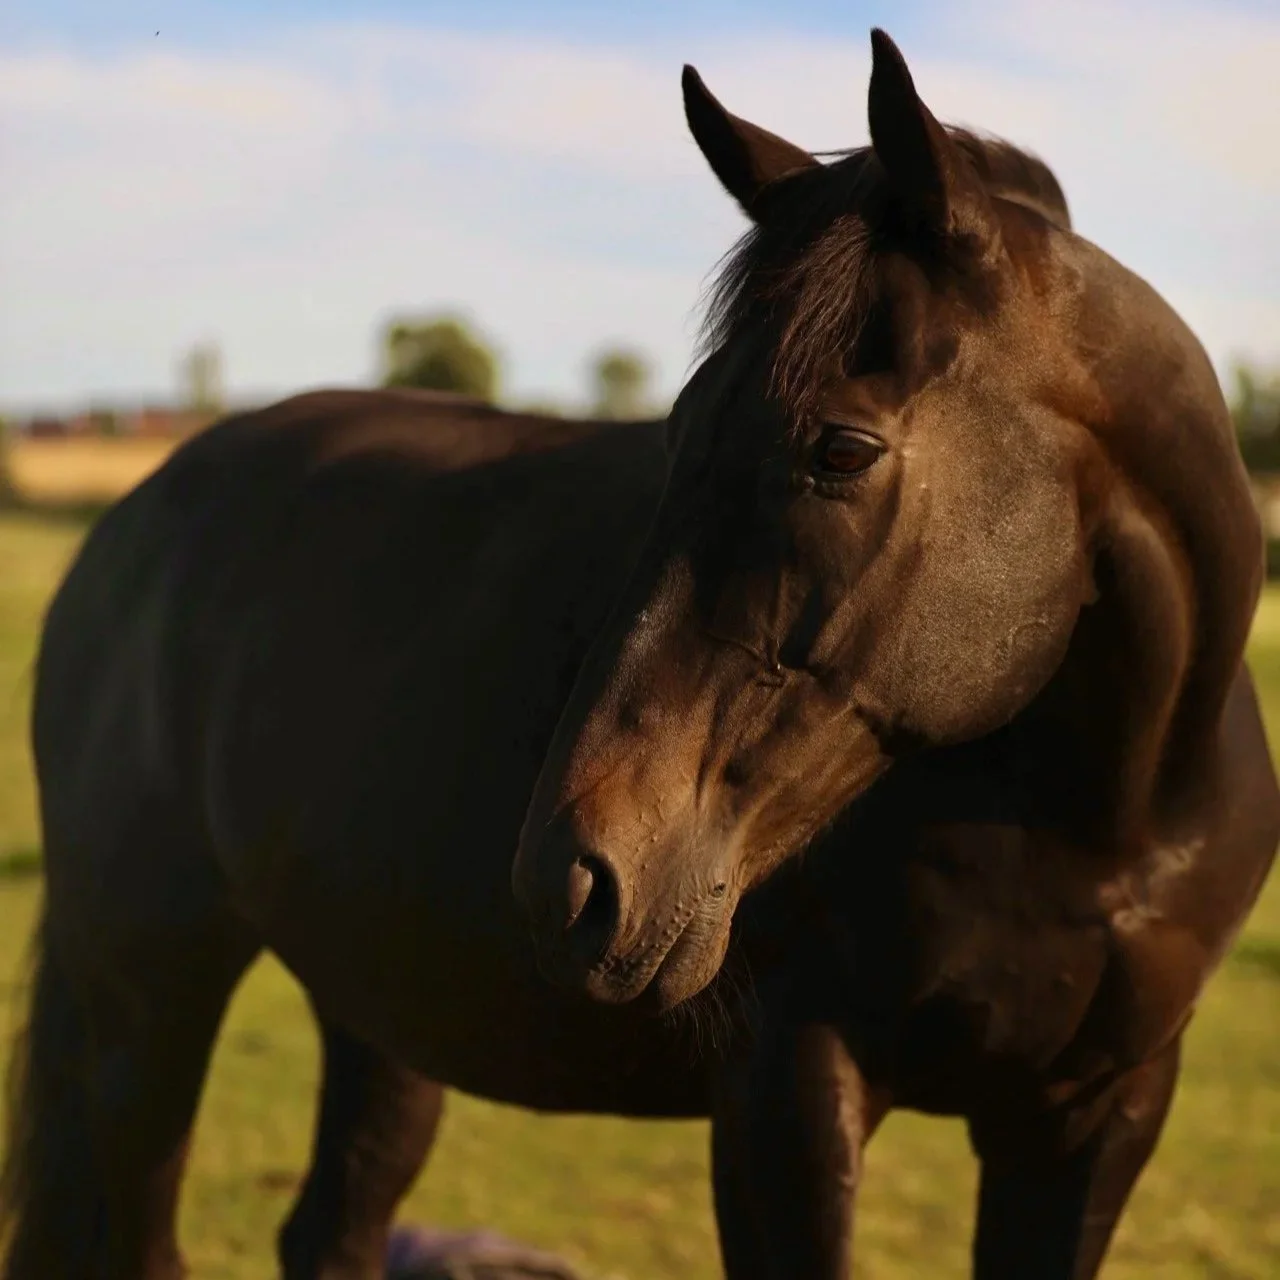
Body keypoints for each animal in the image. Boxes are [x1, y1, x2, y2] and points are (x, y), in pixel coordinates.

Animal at [2, 26, 1276, 1280]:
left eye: (842, 448)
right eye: (678, 427)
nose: (570, 879)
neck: (1100, 827)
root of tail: (137, 519)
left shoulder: (1095, 1113)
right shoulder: (784, 1091)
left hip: (371, 1001)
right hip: (147, 992)